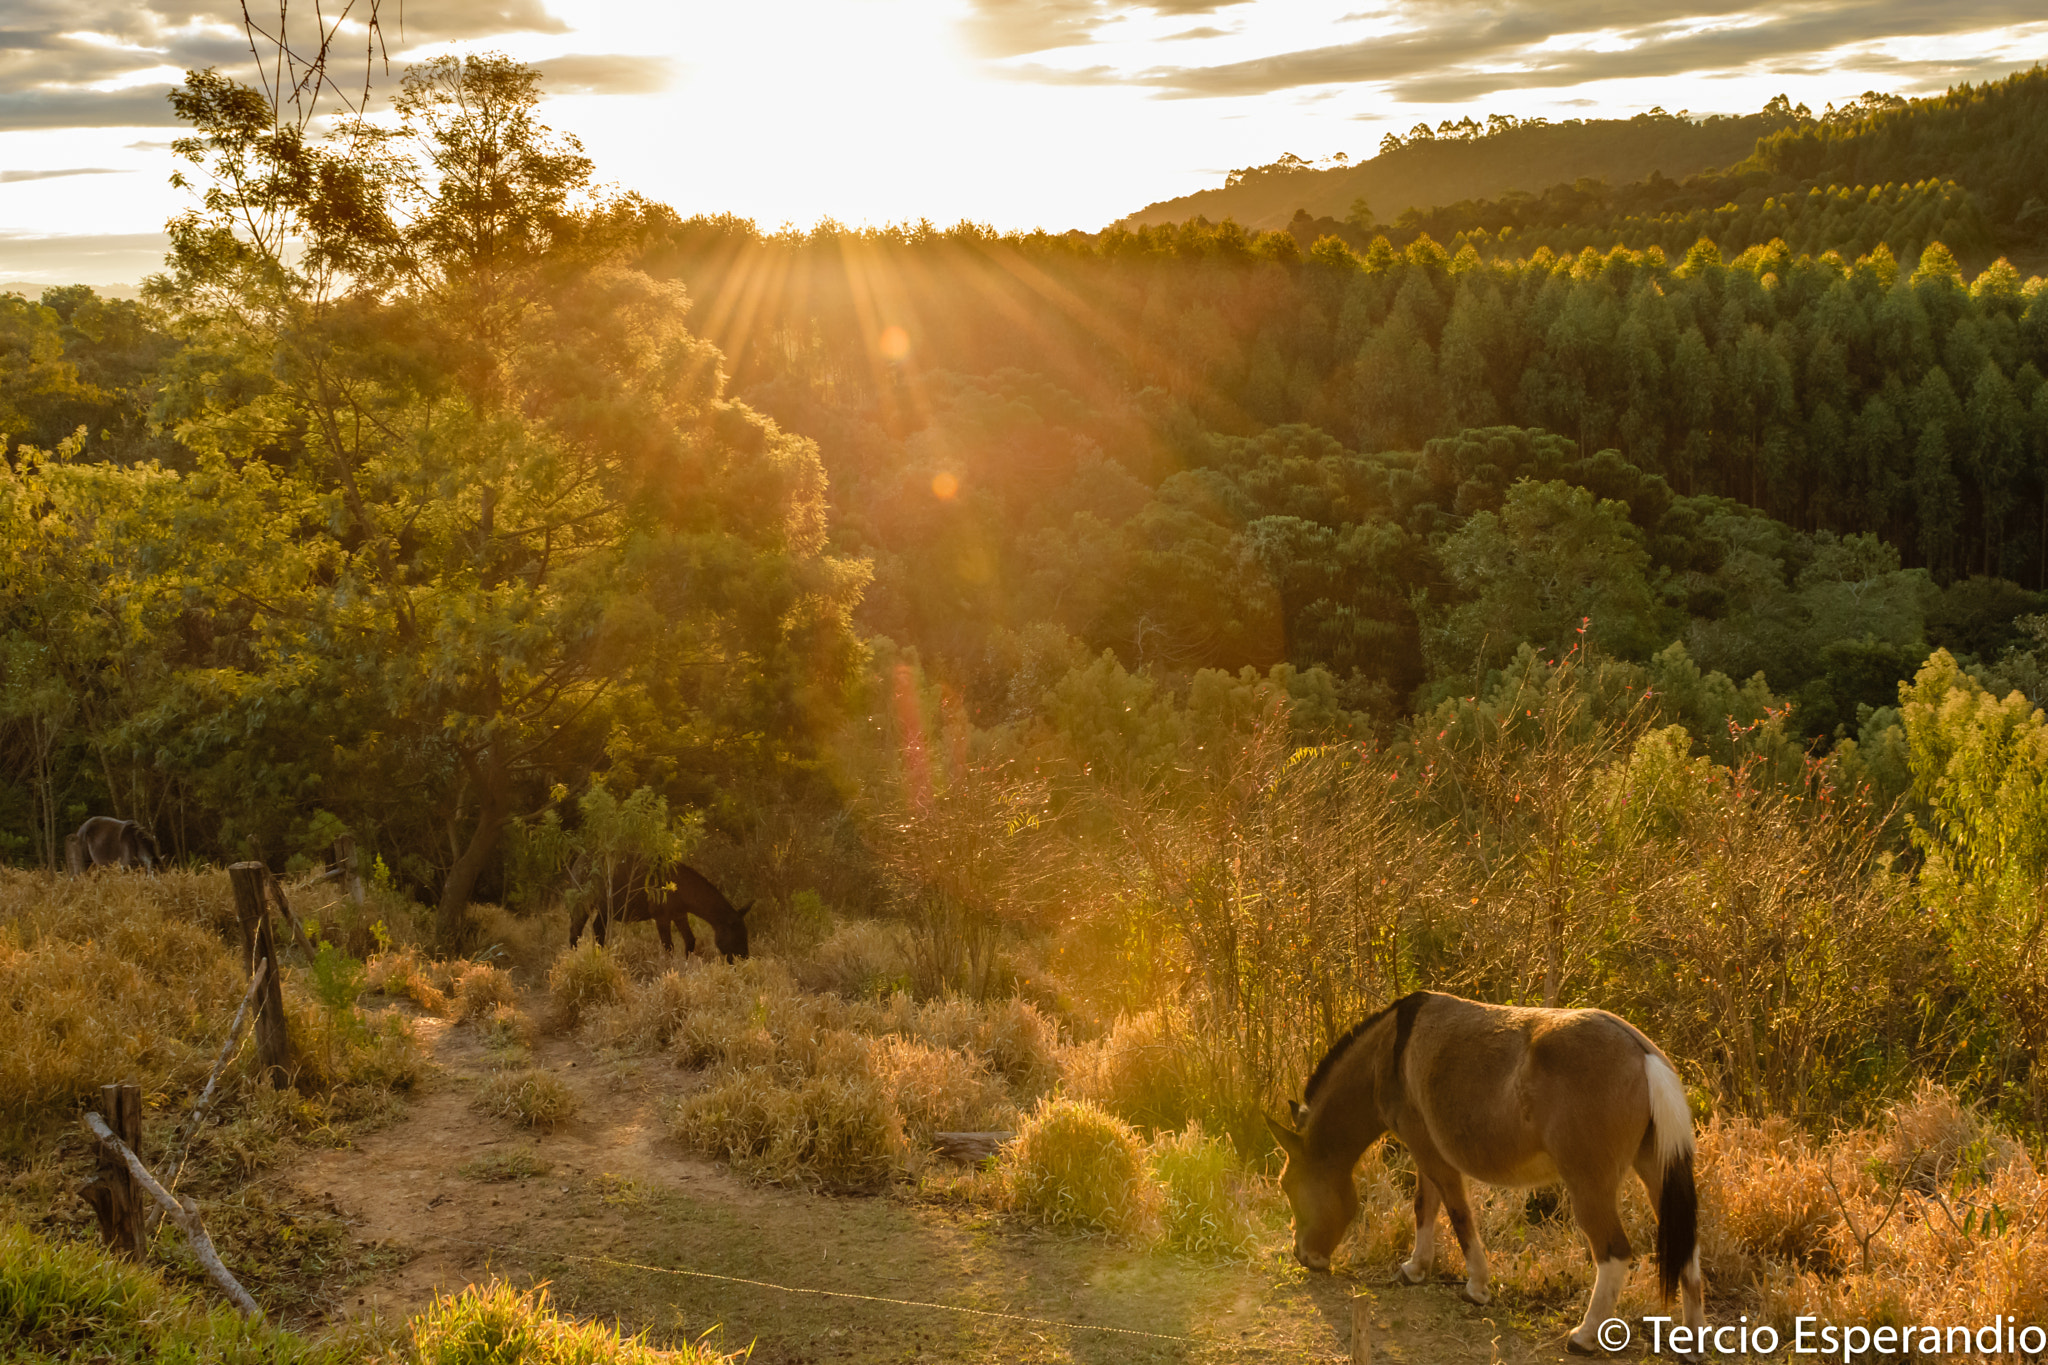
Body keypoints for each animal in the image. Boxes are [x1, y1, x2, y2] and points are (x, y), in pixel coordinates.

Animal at [566, 859, 751, 961]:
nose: (744, 958)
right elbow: (668, 947)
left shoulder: (680, 915)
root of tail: (576, 863)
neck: (683, 889)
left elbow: (690, 941)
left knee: (598, 930)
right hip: (584, 902)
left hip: (604, 909)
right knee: (575, 932)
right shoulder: (661, 917)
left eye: (745, 935)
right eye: (737, 937)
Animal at [1266, 991, 1704, 1356]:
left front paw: (1476, 1286)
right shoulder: (1425, 1154)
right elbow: (1425, 1207)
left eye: (1288, 1186)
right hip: (1656, 1173)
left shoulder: (1430, 1152)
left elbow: (1457, 1213)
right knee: (1688, 1250)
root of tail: (1642, 1055)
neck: (1389, 1053)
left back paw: (1584, 1336)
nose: (1303, 1255)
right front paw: (1415, 1269)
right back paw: (1693, 1339)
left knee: (1614, 1252)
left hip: (1589, 1186)